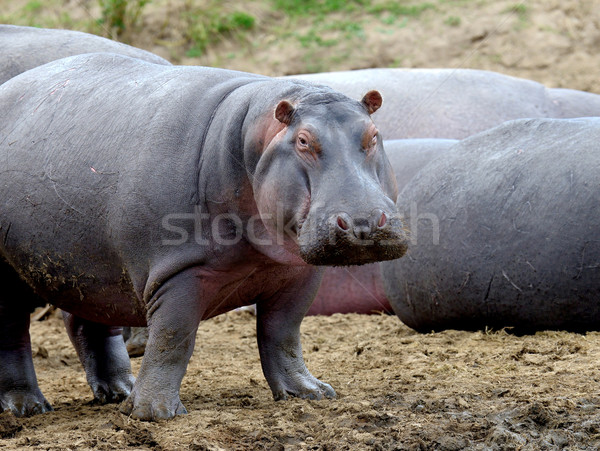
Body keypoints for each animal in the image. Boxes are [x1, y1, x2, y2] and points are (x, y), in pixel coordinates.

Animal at [0, 53, 408, 420]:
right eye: (304, 141)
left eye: (373, 136)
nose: (365, 223)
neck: (250, 141)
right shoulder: (178, 272)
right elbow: (173, 338)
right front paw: (155, 414)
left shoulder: (299, 272)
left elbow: (284, 333)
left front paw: (310, 393)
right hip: (12, 272)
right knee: (12, 334)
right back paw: (28, 408)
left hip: (90, 269)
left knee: (88, 323)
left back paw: (119, 392)